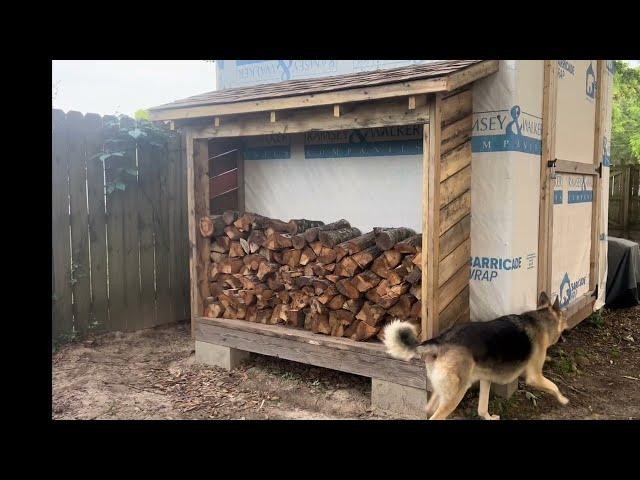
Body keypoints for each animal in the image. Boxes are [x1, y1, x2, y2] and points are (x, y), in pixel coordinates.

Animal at [384, 290, 568, 418]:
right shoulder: (535, 377)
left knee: (428, 409)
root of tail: (441, 341)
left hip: (443, 391)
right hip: (455, 395)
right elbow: (554, 386)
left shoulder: (485, 379)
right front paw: (564, 399)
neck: (540, 320)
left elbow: (482, 408)